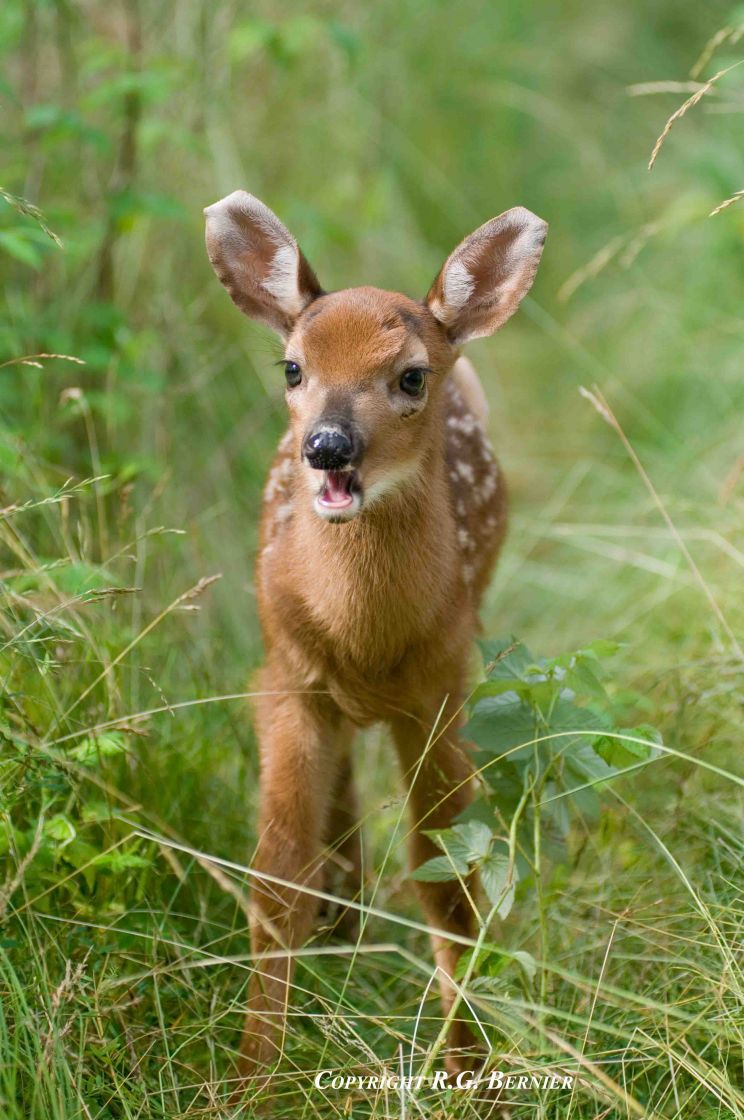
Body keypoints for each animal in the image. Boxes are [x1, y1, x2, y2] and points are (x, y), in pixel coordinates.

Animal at [203, 192, 546, 1093]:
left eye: (409, 376)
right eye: (293, 368)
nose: (327, 446)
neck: (364, 639)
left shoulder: (440, 690)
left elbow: (449, 888)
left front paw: (471, 1075)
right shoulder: (284, 677)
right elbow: (274, 882)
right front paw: (250, 1081)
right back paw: (339, 914)